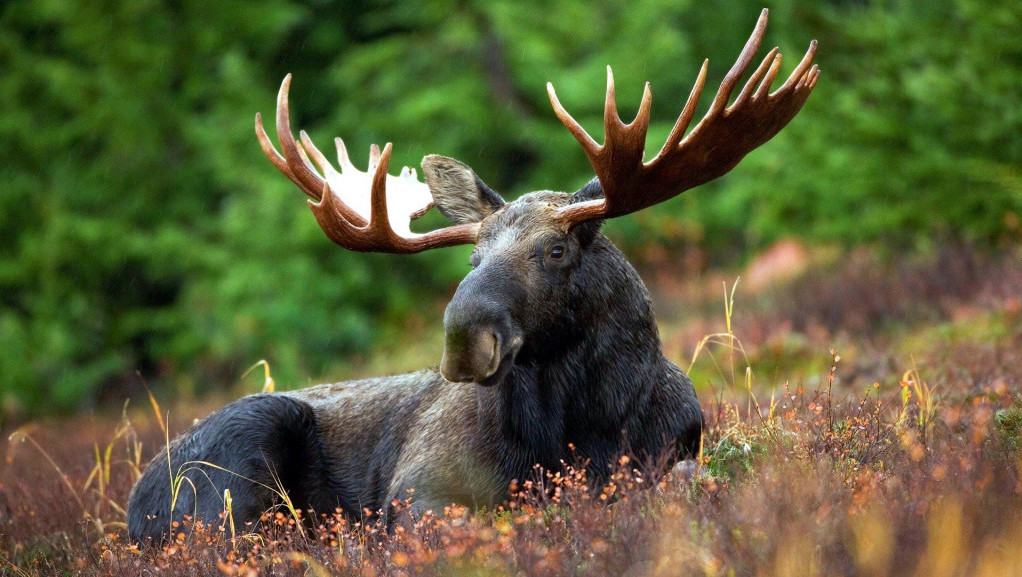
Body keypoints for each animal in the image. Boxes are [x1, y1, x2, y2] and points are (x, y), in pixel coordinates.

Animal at [127, 6, 817, 543]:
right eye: (472, 258)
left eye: (556, 250)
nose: (464, 338)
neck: (581, 427)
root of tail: (133, 507)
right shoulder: (418, 489)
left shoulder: (676, 452)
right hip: (238, 461)